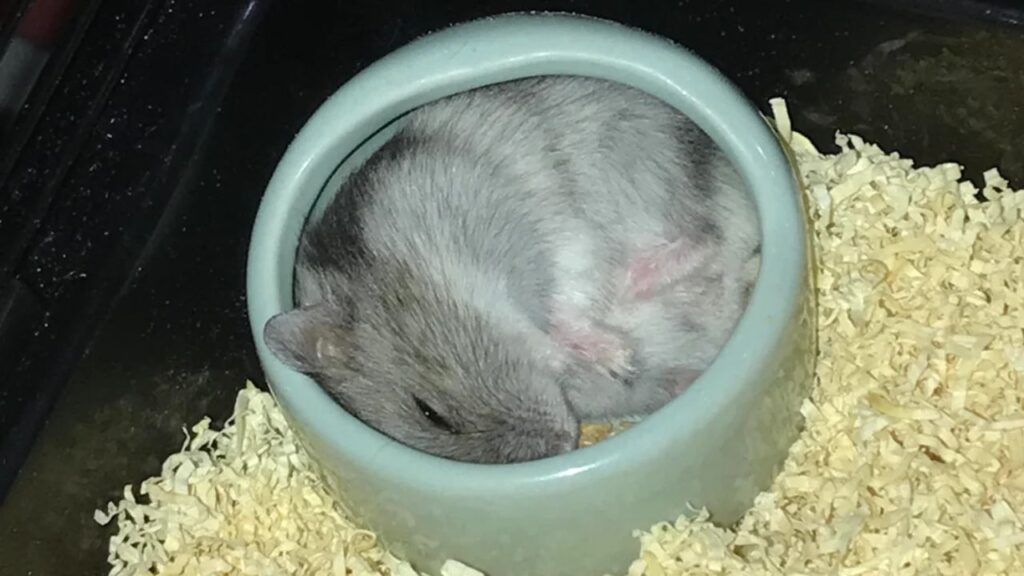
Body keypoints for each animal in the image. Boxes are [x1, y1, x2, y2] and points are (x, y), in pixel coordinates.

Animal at [262, 75, 761, 464]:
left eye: (430, 412)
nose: (567, 440)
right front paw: (612, 360)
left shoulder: (557, 237)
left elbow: (571, 302)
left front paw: (616, 356)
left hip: (654, 168)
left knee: (709, 237)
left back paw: (635, 284)